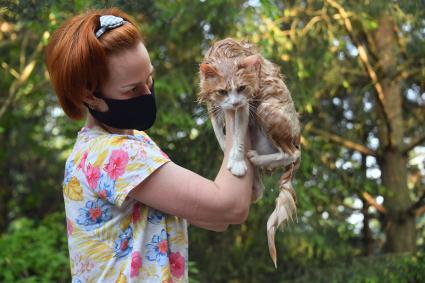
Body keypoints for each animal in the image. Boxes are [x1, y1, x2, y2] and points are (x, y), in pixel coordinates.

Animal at [197, 37, 300, 268]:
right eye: (222, 91)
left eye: (241, 87)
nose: (234, 102)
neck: (224, 55)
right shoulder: (212, 102)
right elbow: (220, 133)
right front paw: (225, 149)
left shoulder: (247, 100)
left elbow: (237, 137)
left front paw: (236, 161)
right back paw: (256, 181)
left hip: (265, 110)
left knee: (292, 154)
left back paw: (256, 159)